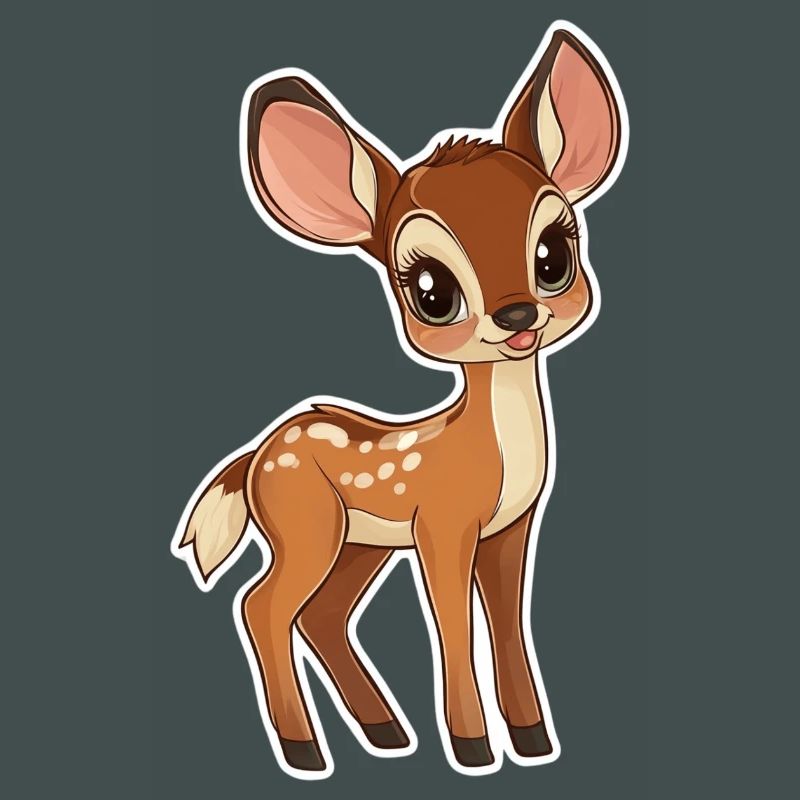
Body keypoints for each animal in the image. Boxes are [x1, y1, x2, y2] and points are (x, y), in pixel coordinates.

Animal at [173, 23, 626, 779]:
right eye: (431, 290)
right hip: (308, 527)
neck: (492, 448)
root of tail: (256, 455)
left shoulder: (509, 531)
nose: (516, 316)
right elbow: (452, 625)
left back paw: (385, 732)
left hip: (359, 544)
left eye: (553, 254)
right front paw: (473, 748)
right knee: (262, 607)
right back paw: (306, 751)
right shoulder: (443, 525)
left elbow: (508, 625)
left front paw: (533, 741)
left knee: (321, 615)